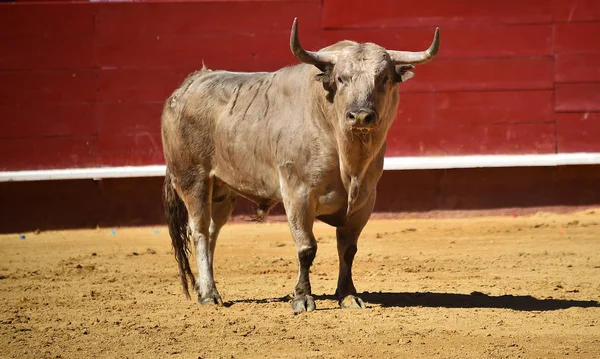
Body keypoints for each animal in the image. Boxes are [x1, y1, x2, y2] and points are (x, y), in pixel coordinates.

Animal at [162, 18, 438, 312]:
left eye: (384, 78)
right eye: (341, 79)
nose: (360, 115)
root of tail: (187, 85)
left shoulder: (365, 201)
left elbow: (348, 250)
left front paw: (348, 295)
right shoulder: (297, 194)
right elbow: (306, 248)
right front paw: (303, 298)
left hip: (222, 190)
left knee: (213, 232)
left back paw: (206, 287)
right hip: (193, 180)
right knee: (200, 232)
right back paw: (209, 294)